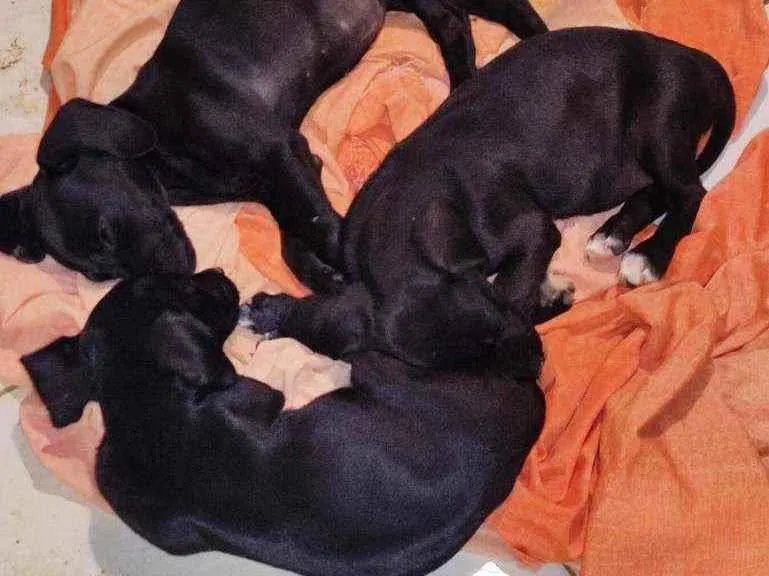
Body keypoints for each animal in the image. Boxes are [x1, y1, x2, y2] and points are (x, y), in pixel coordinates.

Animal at [0, 0, 545, 287]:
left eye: (107, 232)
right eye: (101, 275)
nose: (171, 284)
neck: (160, 137)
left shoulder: (279, 154)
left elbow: (326, 231)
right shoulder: (285, 174)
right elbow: (296, 243)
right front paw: (327, 278)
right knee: (456, 22)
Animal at [240, 27, 736, 369]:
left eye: (498, 313)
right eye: (466, 369)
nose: (537, 363)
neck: (403, 212)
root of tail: (696, 60)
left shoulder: (533, 231)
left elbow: (519, 284)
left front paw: (542, 299)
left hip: (656, 125)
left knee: (689, 191)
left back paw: (648, 255)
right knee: (656, 192)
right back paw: (612, 235)